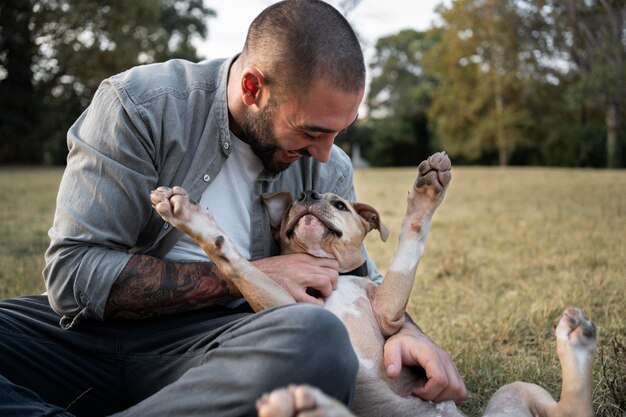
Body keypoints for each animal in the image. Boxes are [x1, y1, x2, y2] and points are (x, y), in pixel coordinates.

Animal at [149, 153, 592, 416]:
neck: (337, 278)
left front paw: (427, 192)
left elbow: (408, 248)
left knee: (572, 410)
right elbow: (235, 261)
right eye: (292, 207)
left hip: (517, 389)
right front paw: (190, 217)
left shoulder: (388, 311)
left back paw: (575, 340)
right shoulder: (282, 303)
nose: (307, 193)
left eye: (340, 204)